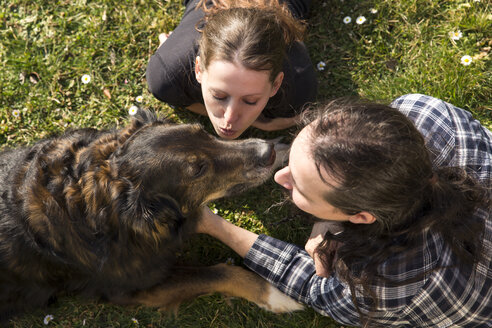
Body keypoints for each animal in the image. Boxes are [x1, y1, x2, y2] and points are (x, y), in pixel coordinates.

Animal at [0, 109, 300, 322]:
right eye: (198, 169)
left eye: (202, 132)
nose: (266, 151)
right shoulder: (135, 290)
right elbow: (219, 273)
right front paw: (274, 294)